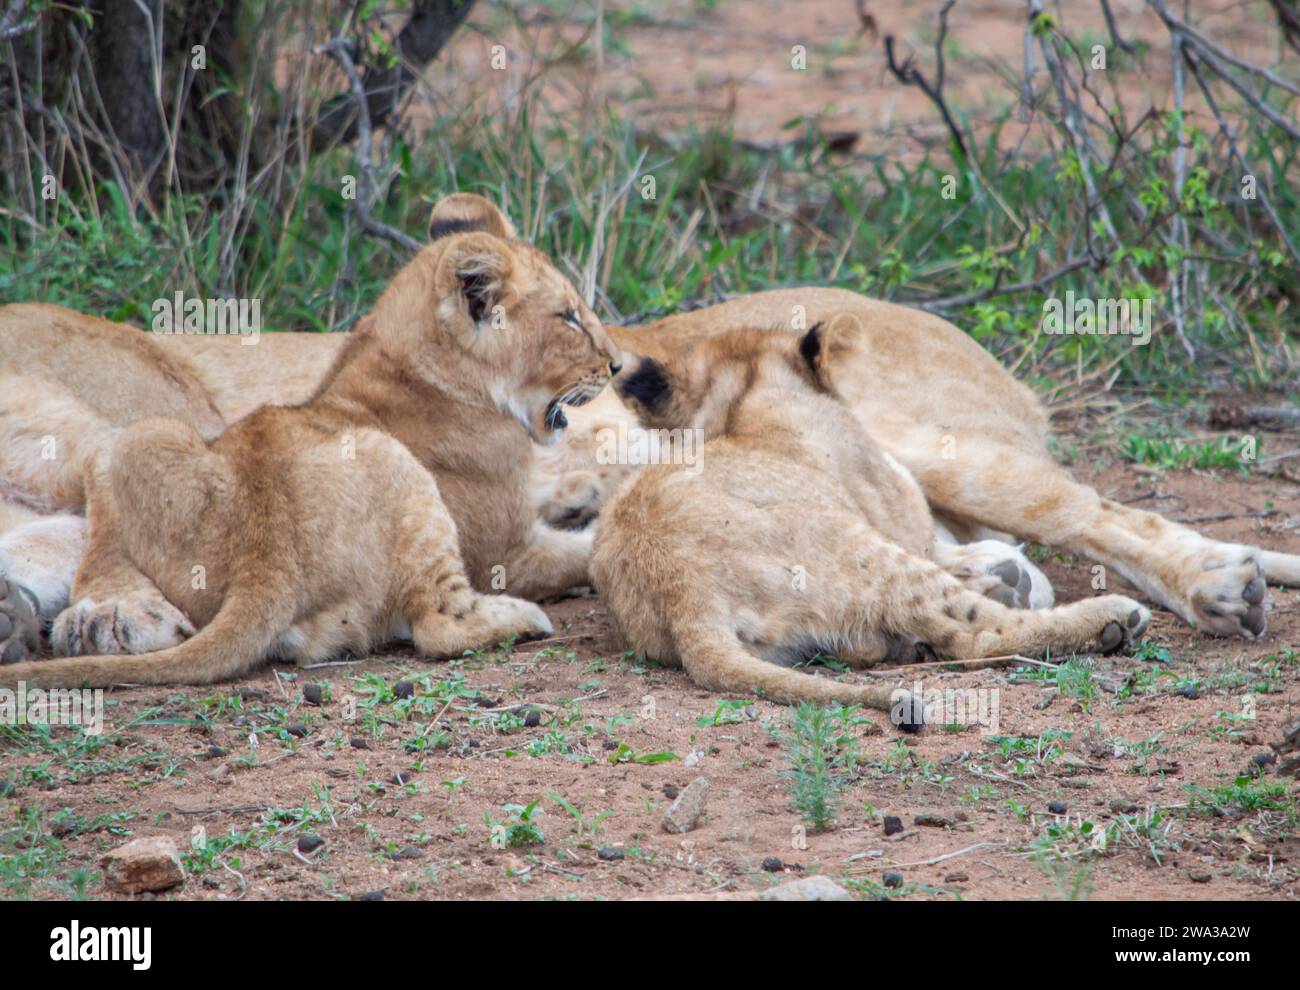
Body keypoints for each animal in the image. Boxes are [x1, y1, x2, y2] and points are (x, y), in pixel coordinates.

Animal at [0, 194, 624, 685]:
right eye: (569, 317)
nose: (618, 365)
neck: (404, 360)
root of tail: (264, 563)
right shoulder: (508, 552)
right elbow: (585, 551)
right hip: (390, 462)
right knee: (440, 625)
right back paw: (521, 619)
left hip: (150, 431)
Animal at [590, 323, 1149, 717]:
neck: (745, 404)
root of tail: (682, 595)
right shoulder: (901, 522)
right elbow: (946, 551)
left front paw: (1003, 572)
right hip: (866, 552)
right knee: (979, 636)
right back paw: (1112, 620)